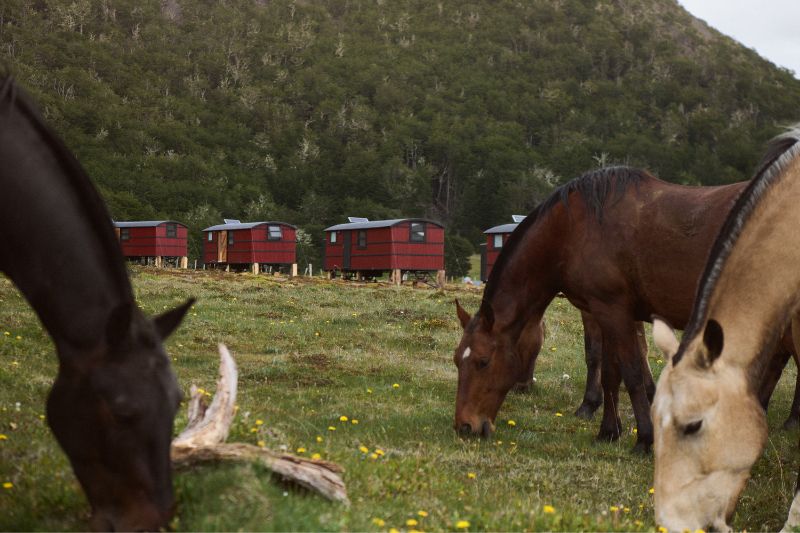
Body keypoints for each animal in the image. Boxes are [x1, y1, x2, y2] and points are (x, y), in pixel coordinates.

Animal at [453, 165, 796, 452]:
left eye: (482, 361)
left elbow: (629, 373)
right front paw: (608, 431)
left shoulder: (613, 310)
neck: (574, 229)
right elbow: (610, 373)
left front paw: (644, 439)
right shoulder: (608, 313)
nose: (464, 426)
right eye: (457, 360)